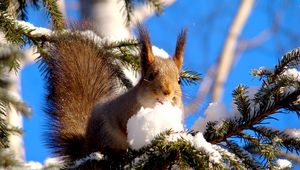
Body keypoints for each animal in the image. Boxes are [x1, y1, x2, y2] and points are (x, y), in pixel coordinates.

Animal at [43, 25, 186, 161]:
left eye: (179, 80)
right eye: (150, 76)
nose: (167, 91)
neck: (152, 107)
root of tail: (85, 148)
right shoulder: (119, 112)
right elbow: (122, 128)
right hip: (103, 133)